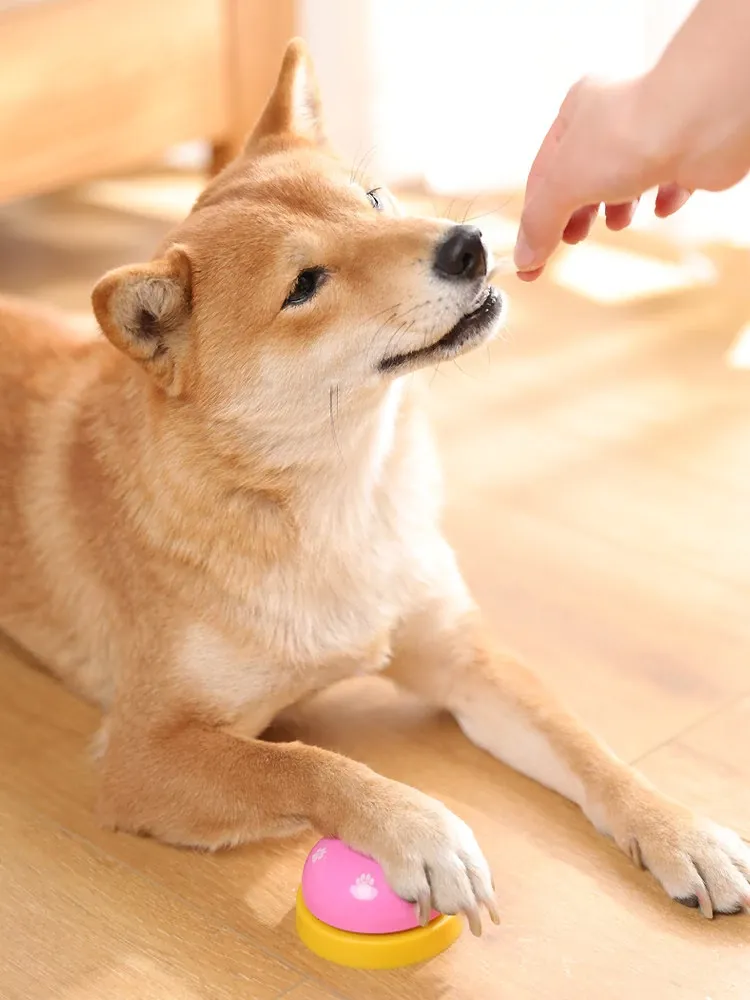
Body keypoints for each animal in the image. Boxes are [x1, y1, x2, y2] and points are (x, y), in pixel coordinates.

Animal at [1, 39, 748, 931]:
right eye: (304, 285)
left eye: (374, 198)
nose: (467, 244)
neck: (343, 496)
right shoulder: (144, 753)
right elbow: (302, 762)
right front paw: (417, 828)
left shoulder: (461, 656)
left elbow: (583, 744)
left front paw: (679, 829)